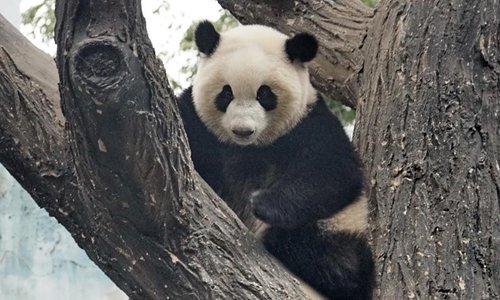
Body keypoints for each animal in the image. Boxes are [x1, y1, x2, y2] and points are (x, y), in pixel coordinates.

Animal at [178, 21, 374, 300]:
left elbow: (334, 171)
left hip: (344, 222)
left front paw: (262, 203)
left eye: (265, 94)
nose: (242, 130)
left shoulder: (308, 123)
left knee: (332, 253)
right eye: (226, 94)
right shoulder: (197, 124)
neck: (248, 149)